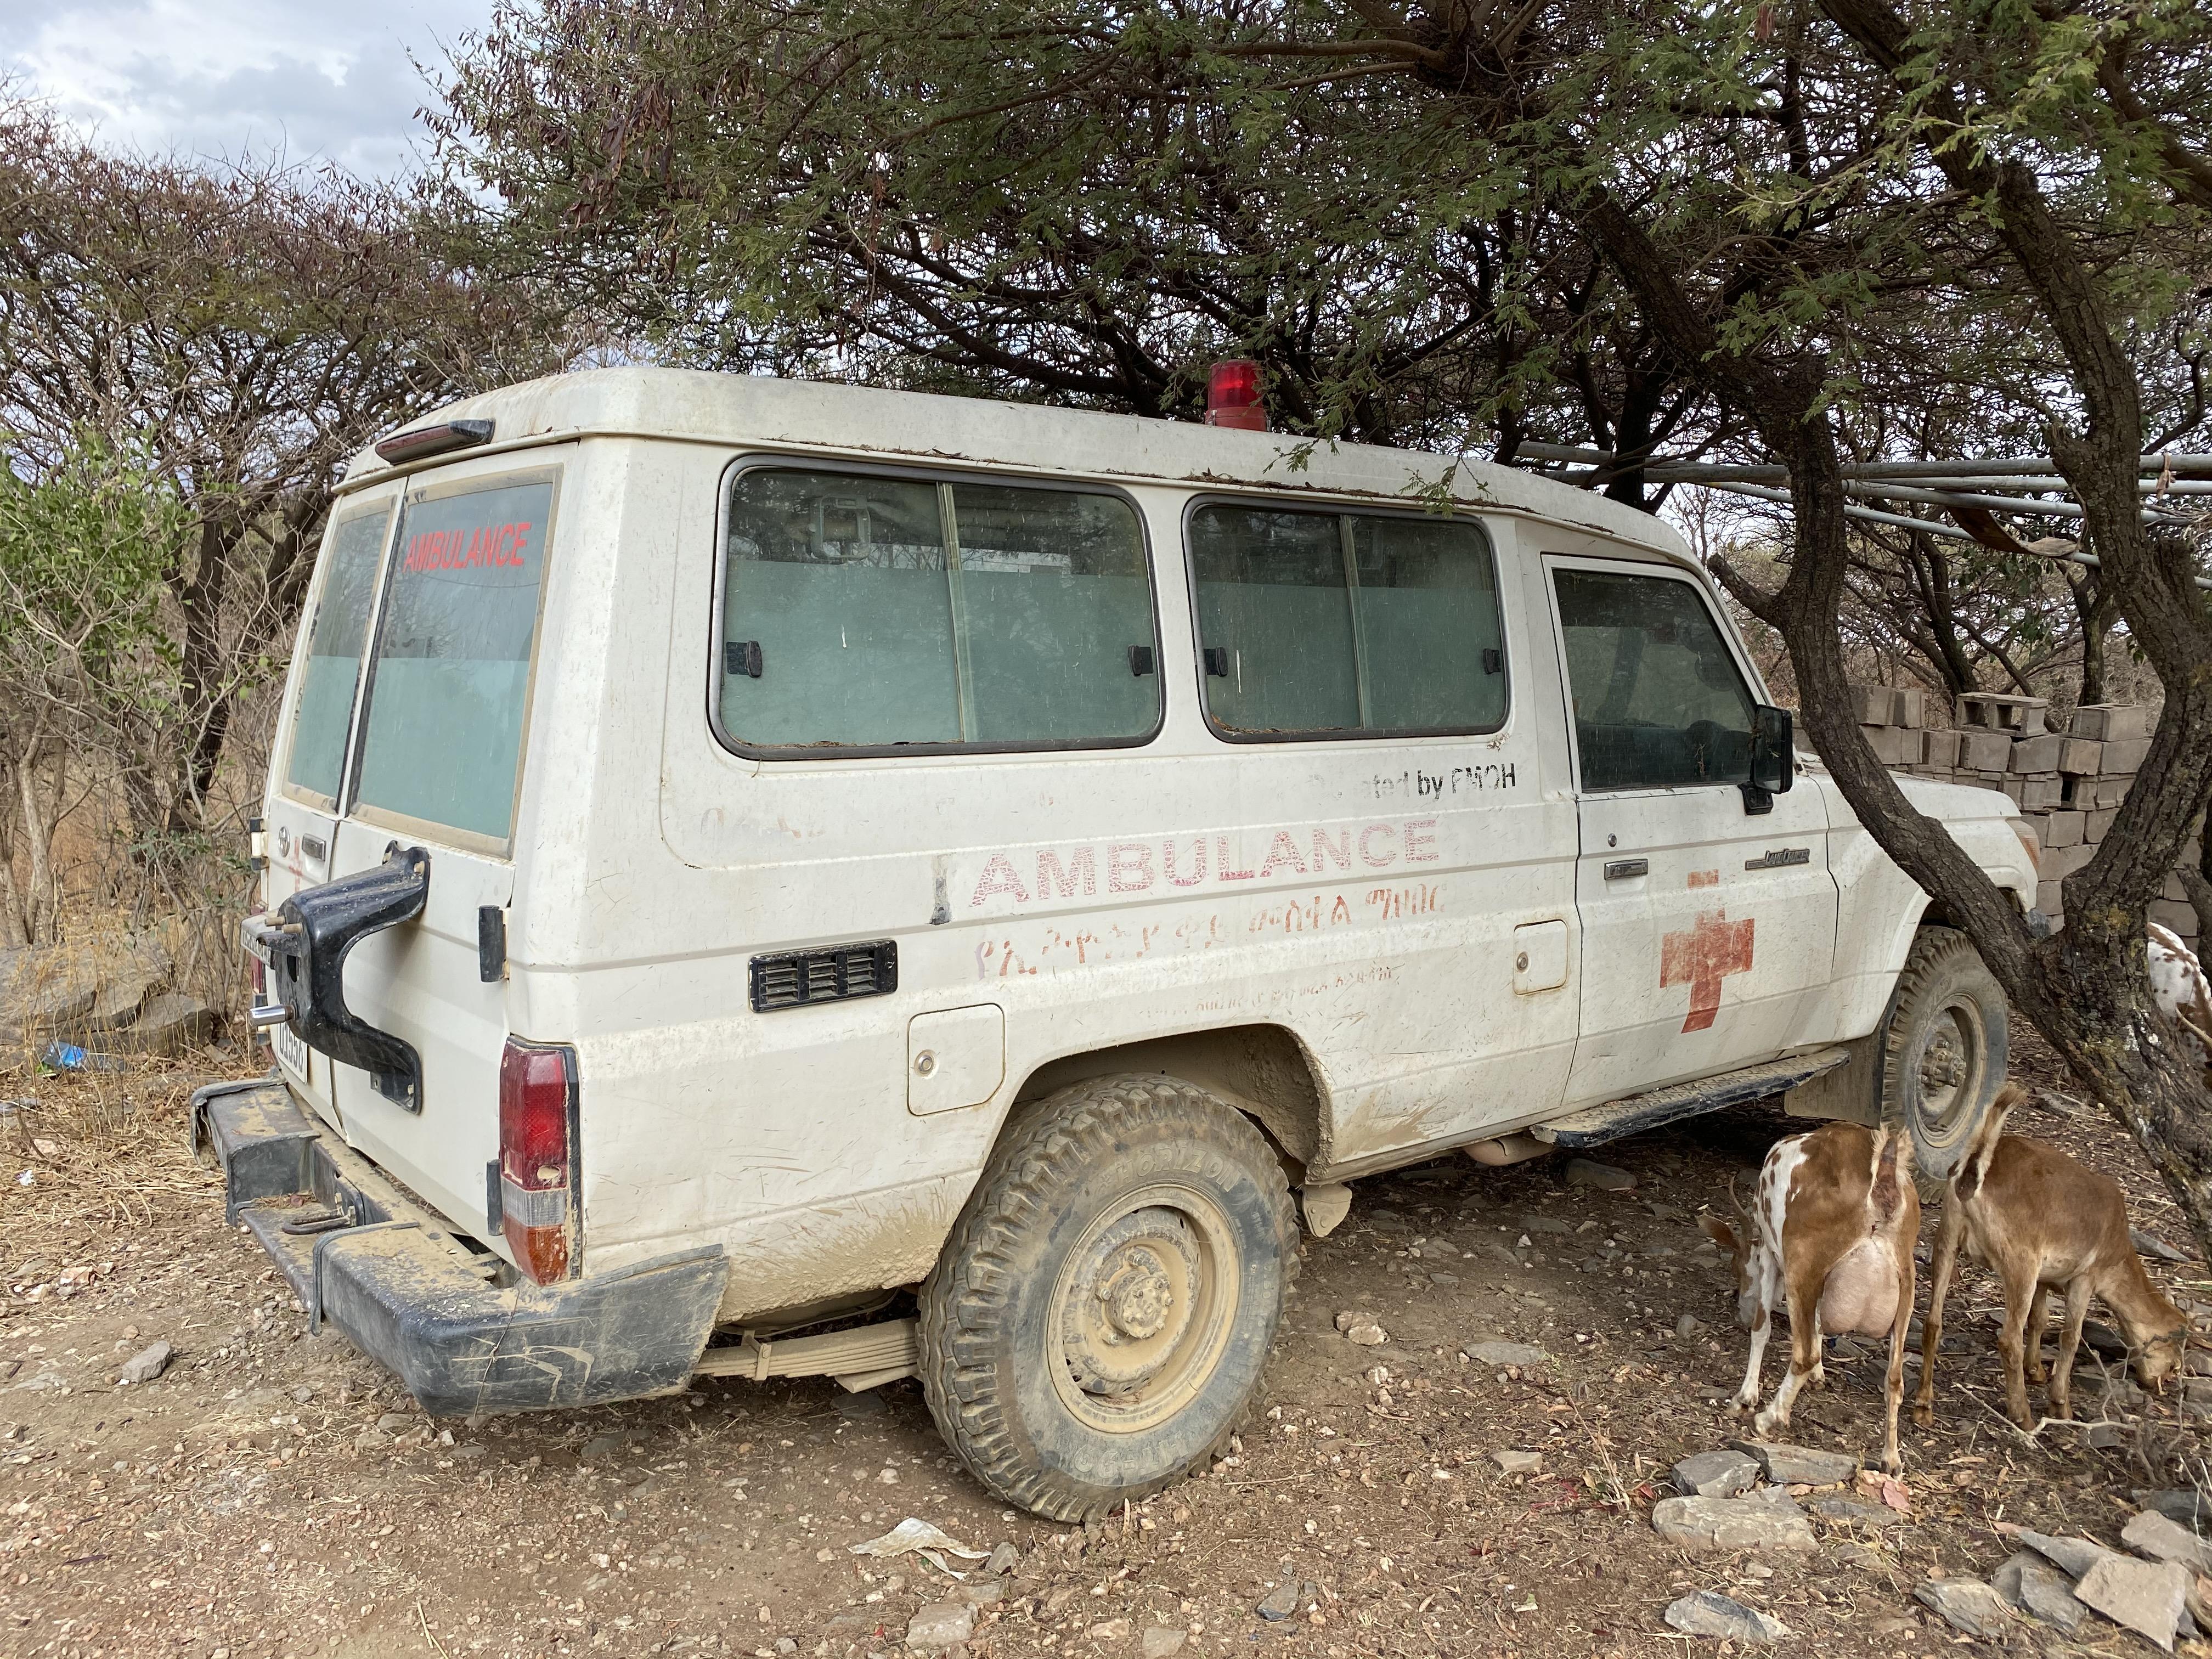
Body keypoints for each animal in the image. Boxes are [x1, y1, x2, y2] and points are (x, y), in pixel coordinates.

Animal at [1707, 1124, 1920, 1477]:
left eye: (1736, 1268)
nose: (1741, 1312)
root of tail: (1884, 1178)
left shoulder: (1772, 1255)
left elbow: (1763, 1329)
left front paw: (1746, 1397)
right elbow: (1819, 1322)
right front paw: (1819, 1376)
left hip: (1802, 1265)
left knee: (1801, 1354)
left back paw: (1767, 1419)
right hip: (1907, 1286)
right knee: (1895, 1379)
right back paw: (1891, 1460)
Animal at [1911, 1084, 2185, 1433]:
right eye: (2176, 1358)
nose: (2163, 1385)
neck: (2118, 1254)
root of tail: (1973, 1171)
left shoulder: (2045, 1274)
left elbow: (2039, 1318)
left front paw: (2037, 1370)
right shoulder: (2085, 1276)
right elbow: (2070, 1336)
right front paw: (2062, 1405)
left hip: (1947, 1237)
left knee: (1933, 1321)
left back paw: (1923, 1408)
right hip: (2019, 1261)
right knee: (2008, 1339)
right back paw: (2024, 1415)